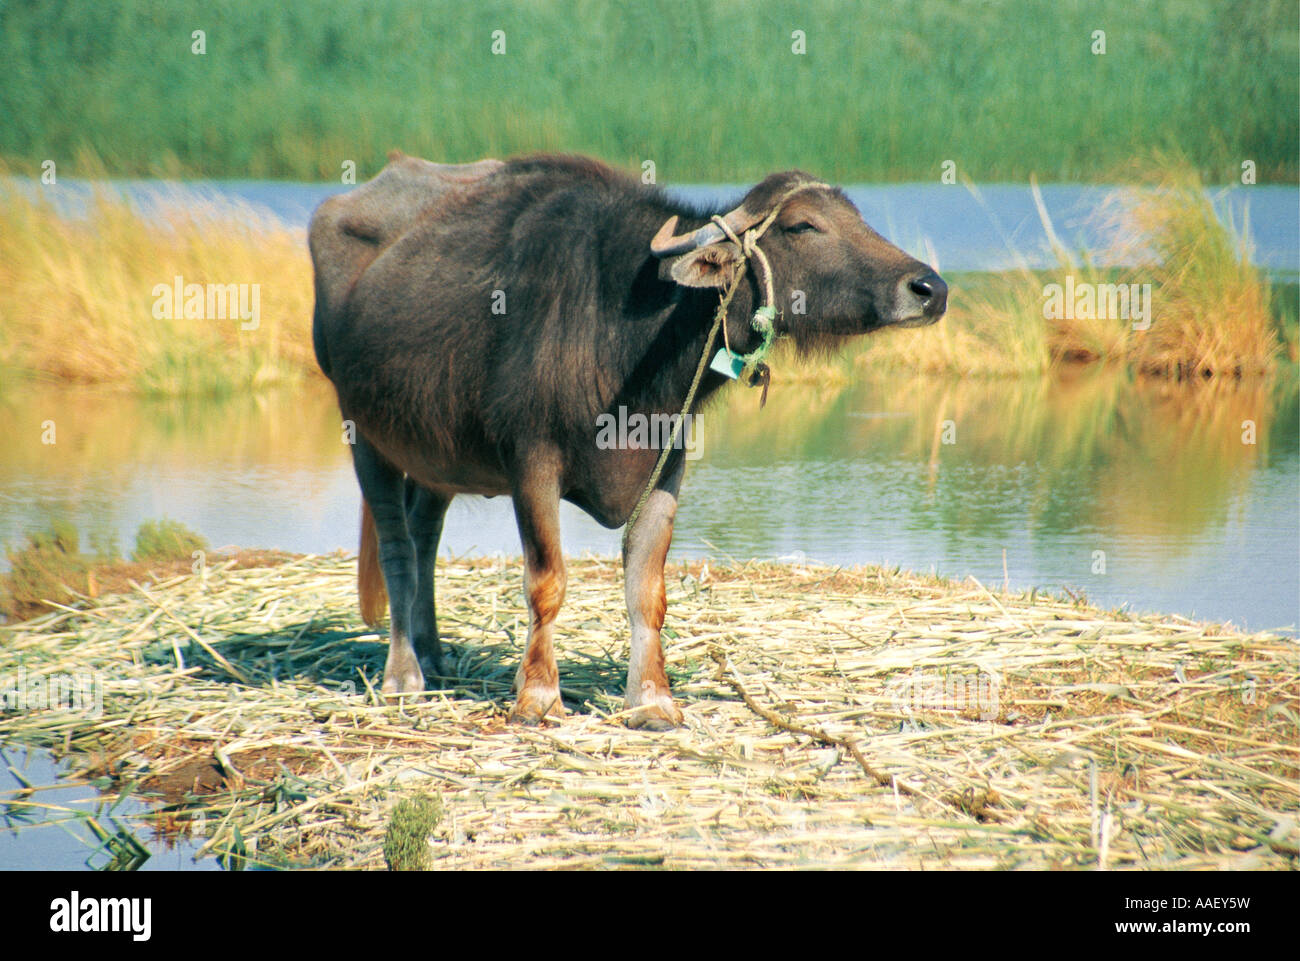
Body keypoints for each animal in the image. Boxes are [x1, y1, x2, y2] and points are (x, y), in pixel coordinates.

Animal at [309, 152, 945, 729]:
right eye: (803, 226)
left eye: (858, 217)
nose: (929, 288)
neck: (619, 327)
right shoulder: (531, 462)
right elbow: (546, 581)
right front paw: (538, 697)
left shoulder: (666, 466)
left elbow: (647, 589)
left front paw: (654, 700)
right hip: (362, 433)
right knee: (396, 548)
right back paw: (404, 675)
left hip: (435, 458)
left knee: (424, 534)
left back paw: (435, 655)